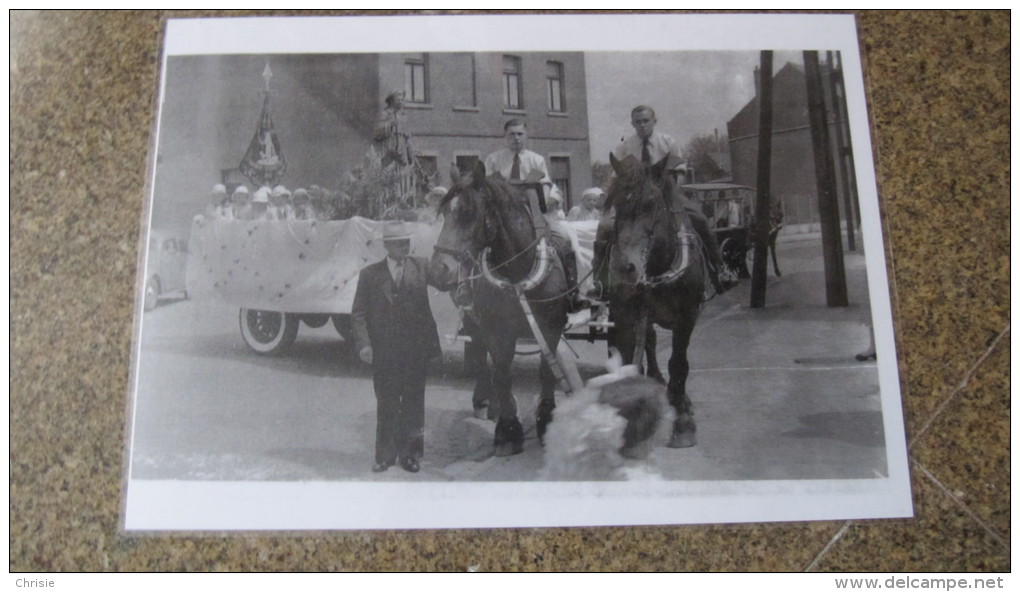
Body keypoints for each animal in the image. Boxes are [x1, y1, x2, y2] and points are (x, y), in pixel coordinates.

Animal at [428, 162, 575, 457]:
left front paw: (545, 420)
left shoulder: (550, 326)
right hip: (474, 322)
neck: (518, 272)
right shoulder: (496, 329)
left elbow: (546, 371)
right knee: (482, 360)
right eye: (444, 213)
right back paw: (486, 403)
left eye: (469, 213)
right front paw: (508, 431)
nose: (438, 270)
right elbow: (502, 373)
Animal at [599, 155, 705, 447]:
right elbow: (628, 358)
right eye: (615, 204)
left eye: (650, 203)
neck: (658, 268)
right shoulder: (624, 313)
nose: (624, 268)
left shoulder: (687, 316)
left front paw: (683, 421)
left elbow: (679, 363)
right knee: (649, 341)